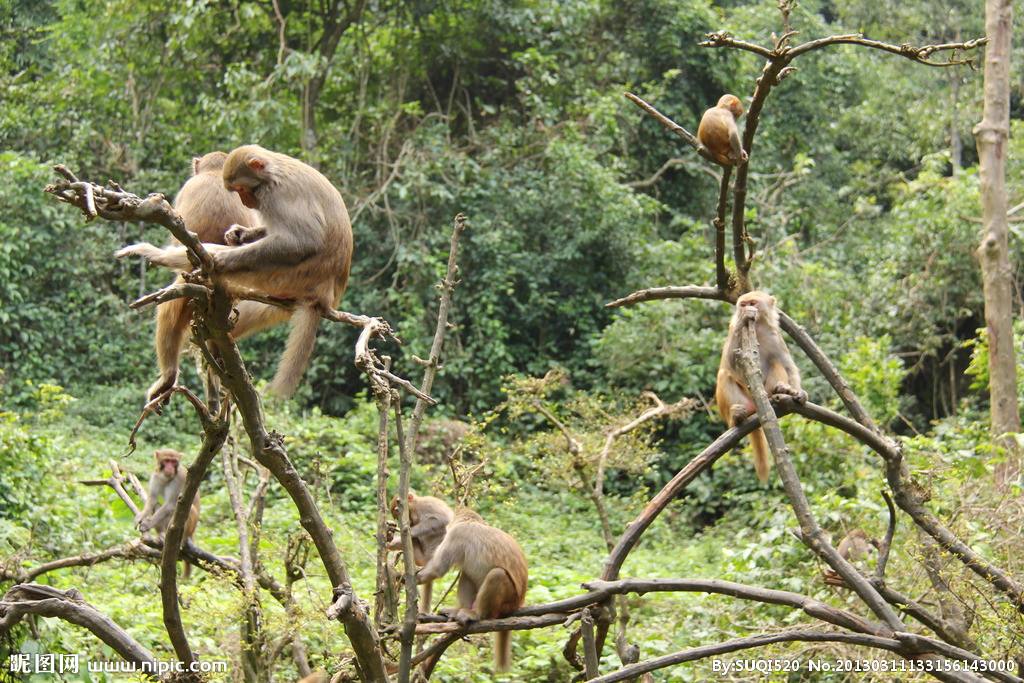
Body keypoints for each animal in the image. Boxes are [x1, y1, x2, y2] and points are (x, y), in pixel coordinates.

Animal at [116, 147, 352, 397]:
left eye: (242, 188)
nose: (246, 201)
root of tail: (324, 295)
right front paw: (239, 234)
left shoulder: (273, 194)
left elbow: (304, 241)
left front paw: (221, 257)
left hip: (287, 275)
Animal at [415, 507, 528, 671]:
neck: (473, 522)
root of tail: (517, 604)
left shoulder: (457, 534)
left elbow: (437, 569)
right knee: (466, 574)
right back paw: (459, 610)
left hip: (508, 599)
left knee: (497, 574)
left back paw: (477, 614)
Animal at [712, 290, 806, 483]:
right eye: (743, 304)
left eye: (753, 303)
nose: (746, 309)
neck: (759, 329)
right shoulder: (733, 330)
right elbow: (729, 363)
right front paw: (742, 320)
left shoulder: (775, 337)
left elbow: (788, 366)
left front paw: (796, 392)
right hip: (743, 399)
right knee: (724, 375)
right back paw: (736, 417)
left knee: (776, 362)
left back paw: (780, 391)